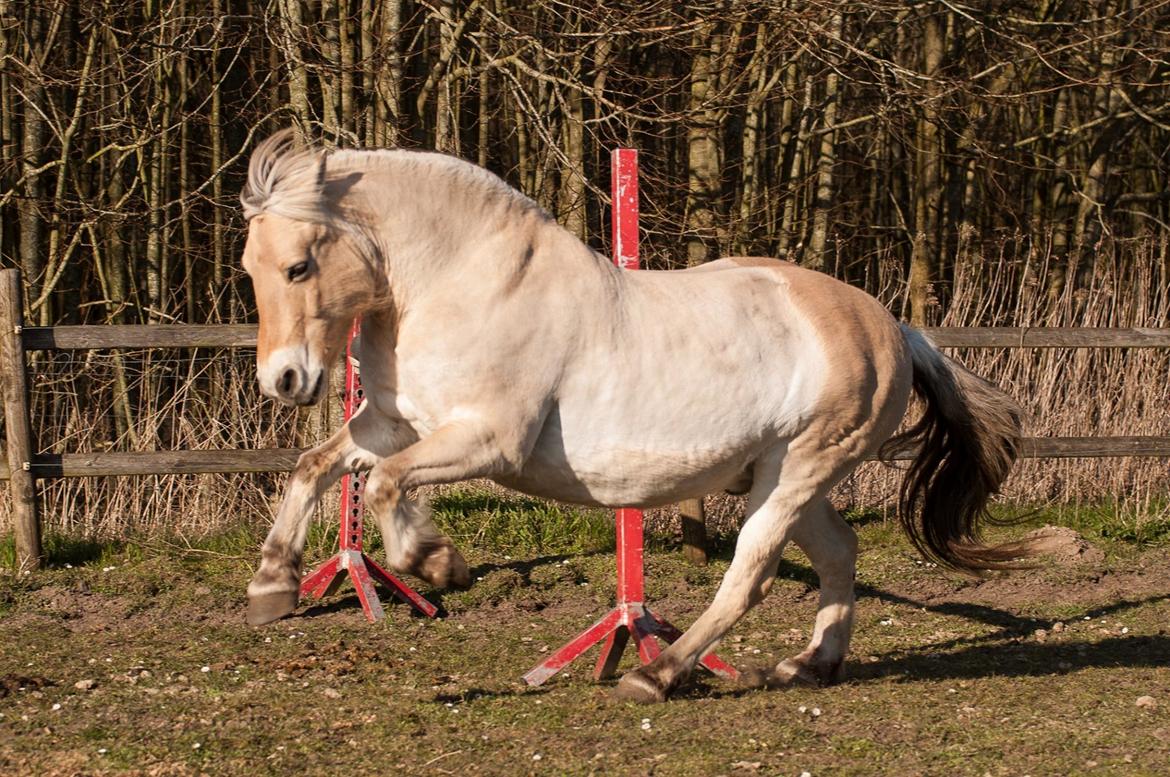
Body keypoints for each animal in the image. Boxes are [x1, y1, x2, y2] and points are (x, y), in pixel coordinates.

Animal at [239, 132, 1024, 702]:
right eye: (251, 267)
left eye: (299, 267)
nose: (283, 381)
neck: (459, 282)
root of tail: (892, 326)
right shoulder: (394, 423)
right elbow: (316, 468)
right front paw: (272, 586)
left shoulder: (488, 440)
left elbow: (385, 486)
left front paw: (440, 564)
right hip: (779, 474)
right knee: (837, 554)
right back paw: (810, 665)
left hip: (801, 469)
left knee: (750, 573)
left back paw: (657, 674)